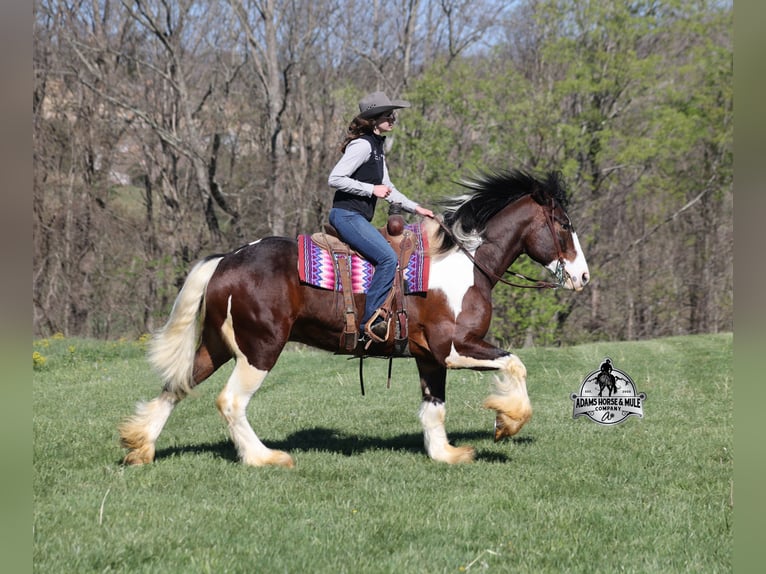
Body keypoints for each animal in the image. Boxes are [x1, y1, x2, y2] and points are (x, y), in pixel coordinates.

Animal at [119, 169, 590, 467]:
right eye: (564, 223)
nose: (583, 276)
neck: (464, 263)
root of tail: (227, 260)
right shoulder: (454, 349)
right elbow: (515, 364)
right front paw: (507, 422)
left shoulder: (429, 358)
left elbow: (433, 410)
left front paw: (447, 454)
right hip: (260, 349)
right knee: (230, 402)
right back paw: (263, 457)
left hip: (216, 346)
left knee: (176, 386)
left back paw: (140, 447)